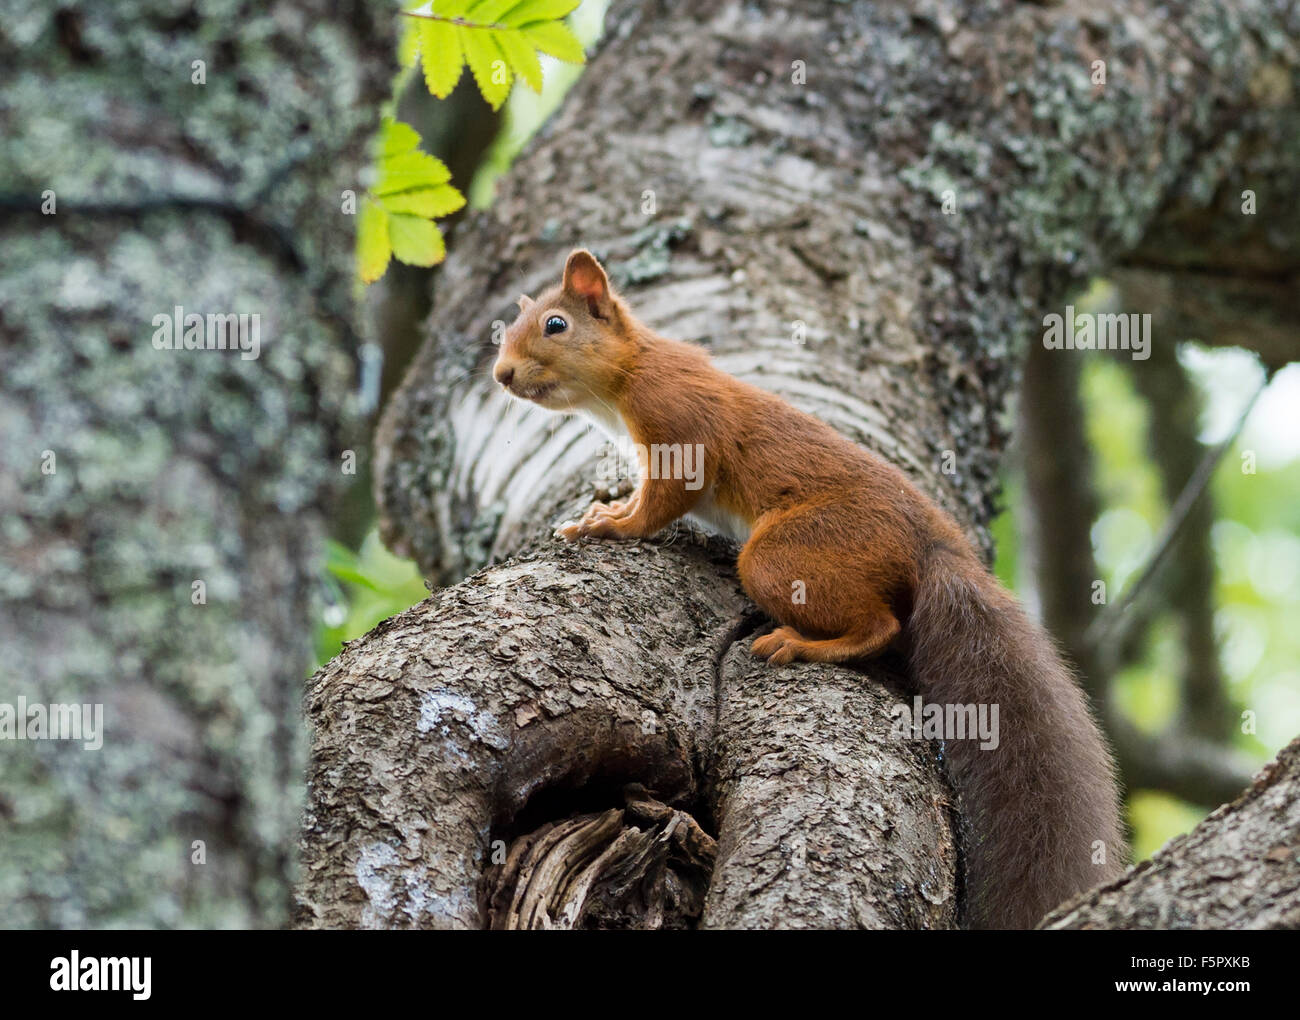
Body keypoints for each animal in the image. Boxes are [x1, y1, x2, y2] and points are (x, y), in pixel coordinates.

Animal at [491, 250, 1123, 925]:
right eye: (509, 328)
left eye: (555, 324)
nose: (501, 374)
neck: (628, 374)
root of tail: (931, 547)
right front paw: (608, 503)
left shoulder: (680, 424)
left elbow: (663, 502)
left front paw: (609, 525)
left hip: (780, 557)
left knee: (881, 626)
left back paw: (801, 645)